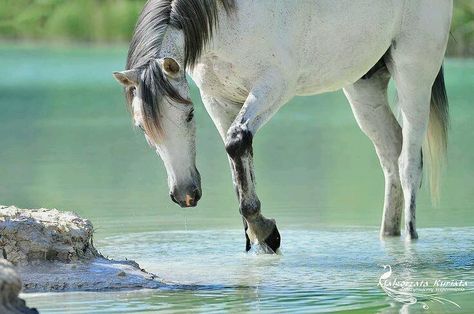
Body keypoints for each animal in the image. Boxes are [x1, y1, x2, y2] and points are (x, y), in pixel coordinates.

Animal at [113, 0, 450, 253]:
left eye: (189, 115)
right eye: (142, 128)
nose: (185, 194)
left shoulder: (274, 86)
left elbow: (237, 141)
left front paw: (265, 232)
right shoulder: (217, 99)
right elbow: (237, 165)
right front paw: (256, 238)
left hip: (414, 73)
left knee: (409, 162)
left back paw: (409, 241)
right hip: (364, 85)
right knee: (391, 154)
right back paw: (387, 236)